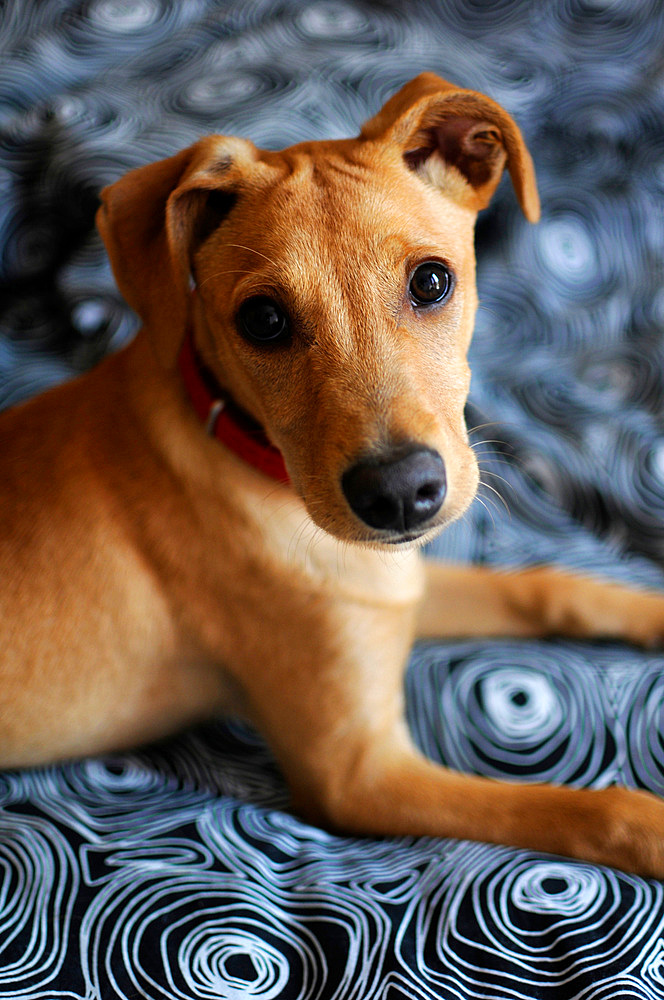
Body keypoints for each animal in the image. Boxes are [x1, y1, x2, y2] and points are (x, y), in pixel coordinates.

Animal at [1, 74, 664, 876]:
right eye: (263, 321)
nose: (401, 495)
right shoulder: (358, 773)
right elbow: (592, 812)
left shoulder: (398, 591)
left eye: (432, 281)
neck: (253, 459)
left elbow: (545, 587)